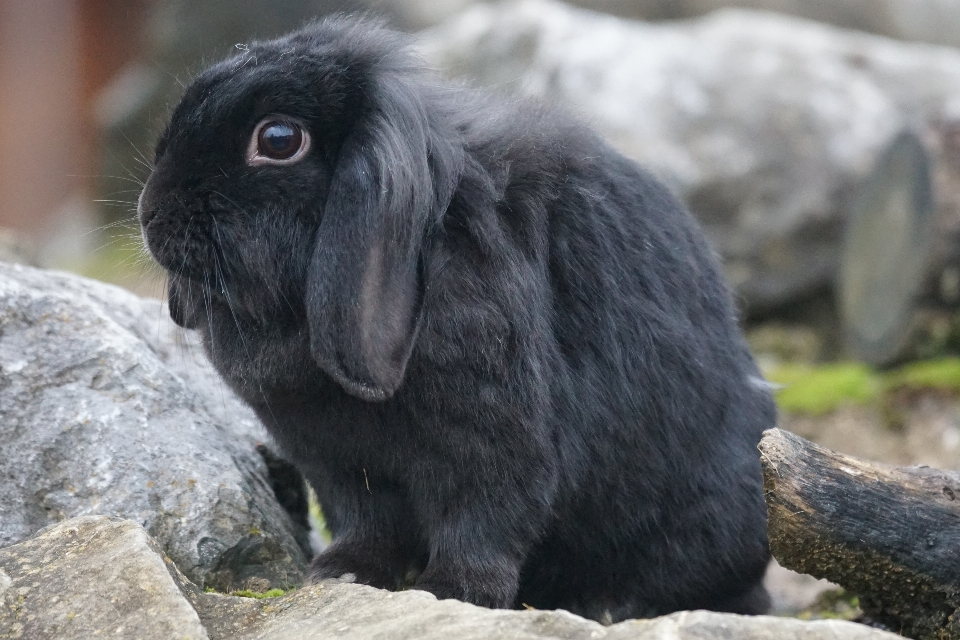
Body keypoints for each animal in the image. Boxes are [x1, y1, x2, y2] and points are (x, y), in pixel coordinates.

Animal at [139, 16, 776, 624]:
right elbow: (367, 521)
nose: (151, 214)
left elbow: (481, 522)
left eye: (277, 139)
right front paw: (340, 573)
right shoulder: (333, 460)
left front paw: (452, 592)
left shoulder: (494, 442)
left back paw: (615, 605)